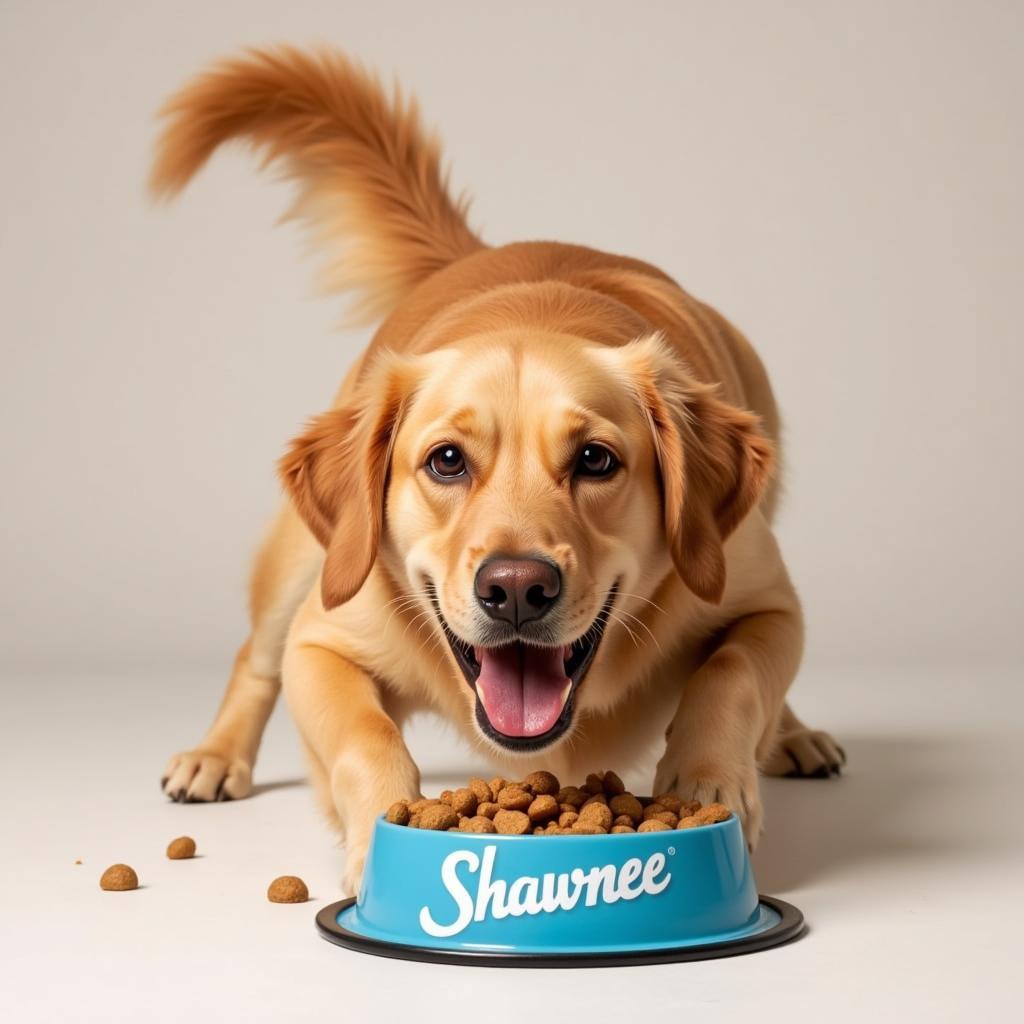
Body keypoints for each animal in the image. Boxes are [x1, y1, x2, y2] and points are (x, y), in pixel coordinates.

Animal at [151, 49, 839, 897]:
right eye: (447, 460)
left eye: (596, 459)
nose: (516, 588)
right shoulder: (323, 641)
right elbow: (364, 734)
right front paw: (382, 838)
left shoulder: (765, 599)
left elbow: (734, 671)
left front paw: (707, 779)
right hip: (308, 559)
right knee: (255, 658)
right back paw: (214, 757)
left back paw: (794, 738)